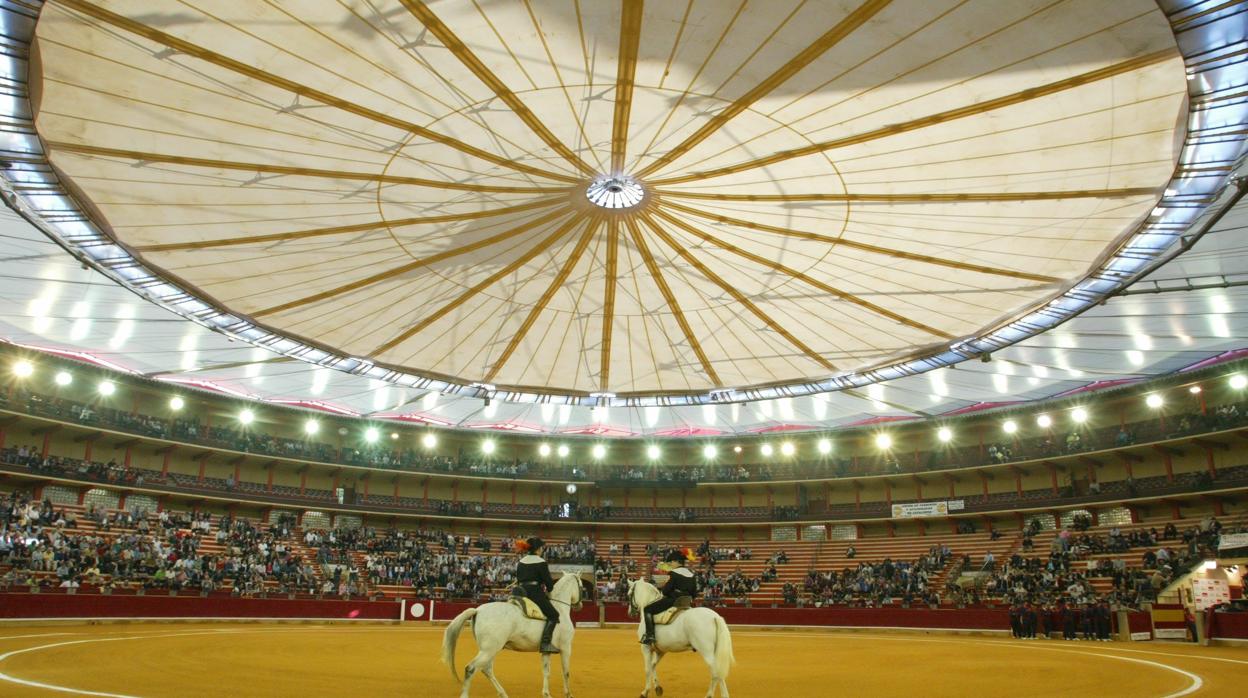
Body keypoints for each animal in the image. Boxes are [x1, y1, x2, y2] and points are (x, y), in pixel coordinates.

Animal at [441, 574, 581, 698]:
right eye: (581, 585)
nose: (580, 605)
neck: (560, 609)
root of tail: (478, 610)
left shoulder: (546, 651)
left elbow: (546, 672)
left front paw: (546, 694)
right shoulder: (566, 648)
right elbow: (566, 672)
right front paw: (569, 694)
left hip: (489, 650)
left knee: (486, 669)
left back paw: (503, 693)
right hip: (489, 650)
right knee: (471, 668)